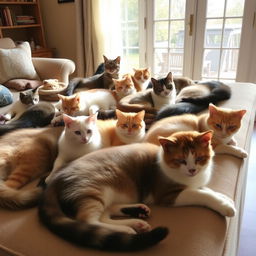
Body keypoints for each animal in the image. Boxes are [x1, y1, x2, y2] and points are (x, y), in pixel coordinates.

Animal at [38, 131, 236, 251]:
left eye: (200, 158)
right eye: (180, 160)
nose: (192, 170)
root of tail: (56, 177)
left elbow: (207, 189)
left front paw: (225, 198)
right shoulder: (168, 194)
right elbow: (201, 194)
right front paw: (224, 206)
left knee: (106, 213)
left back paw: (137, 218)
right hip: (95, 187)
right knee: (89, 220)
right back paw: (126, 230)